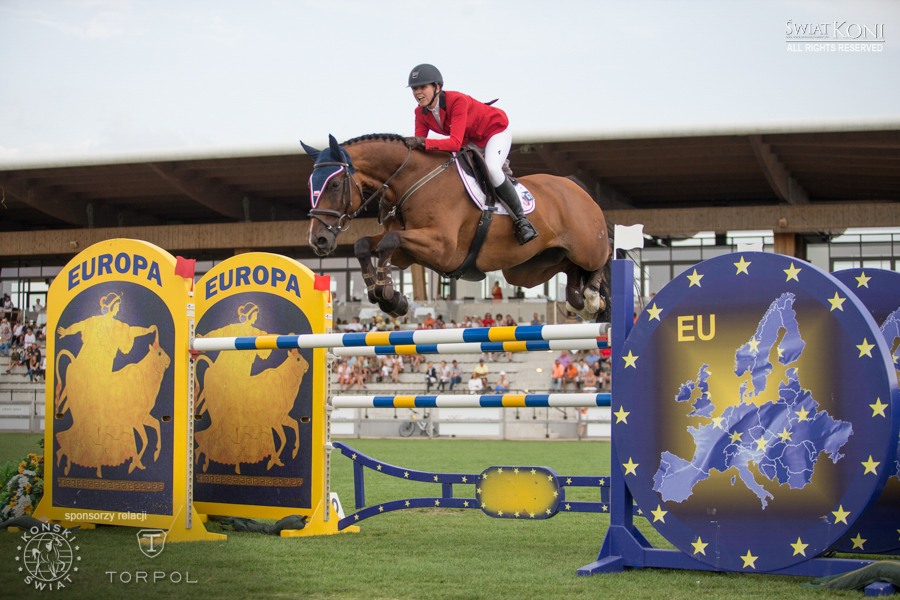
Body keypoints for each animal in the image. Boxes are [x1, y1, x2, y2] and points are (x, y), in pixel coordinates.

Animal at [302, 134, 613, 322]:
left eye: (335, 184)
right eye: (310, 184)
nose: (317, 240)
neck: (410, 181)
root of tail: (578, 187)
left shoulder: (441, 247)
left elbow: (389, 240)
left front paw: (389, 295)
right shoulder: (409, 252)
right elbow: (365, 244)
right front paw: (386, 295)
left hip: (586, 246)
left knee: (605, 254)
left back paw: (591, 297)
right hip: (526, 268)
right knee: (568, 267)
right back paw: (577, 299)